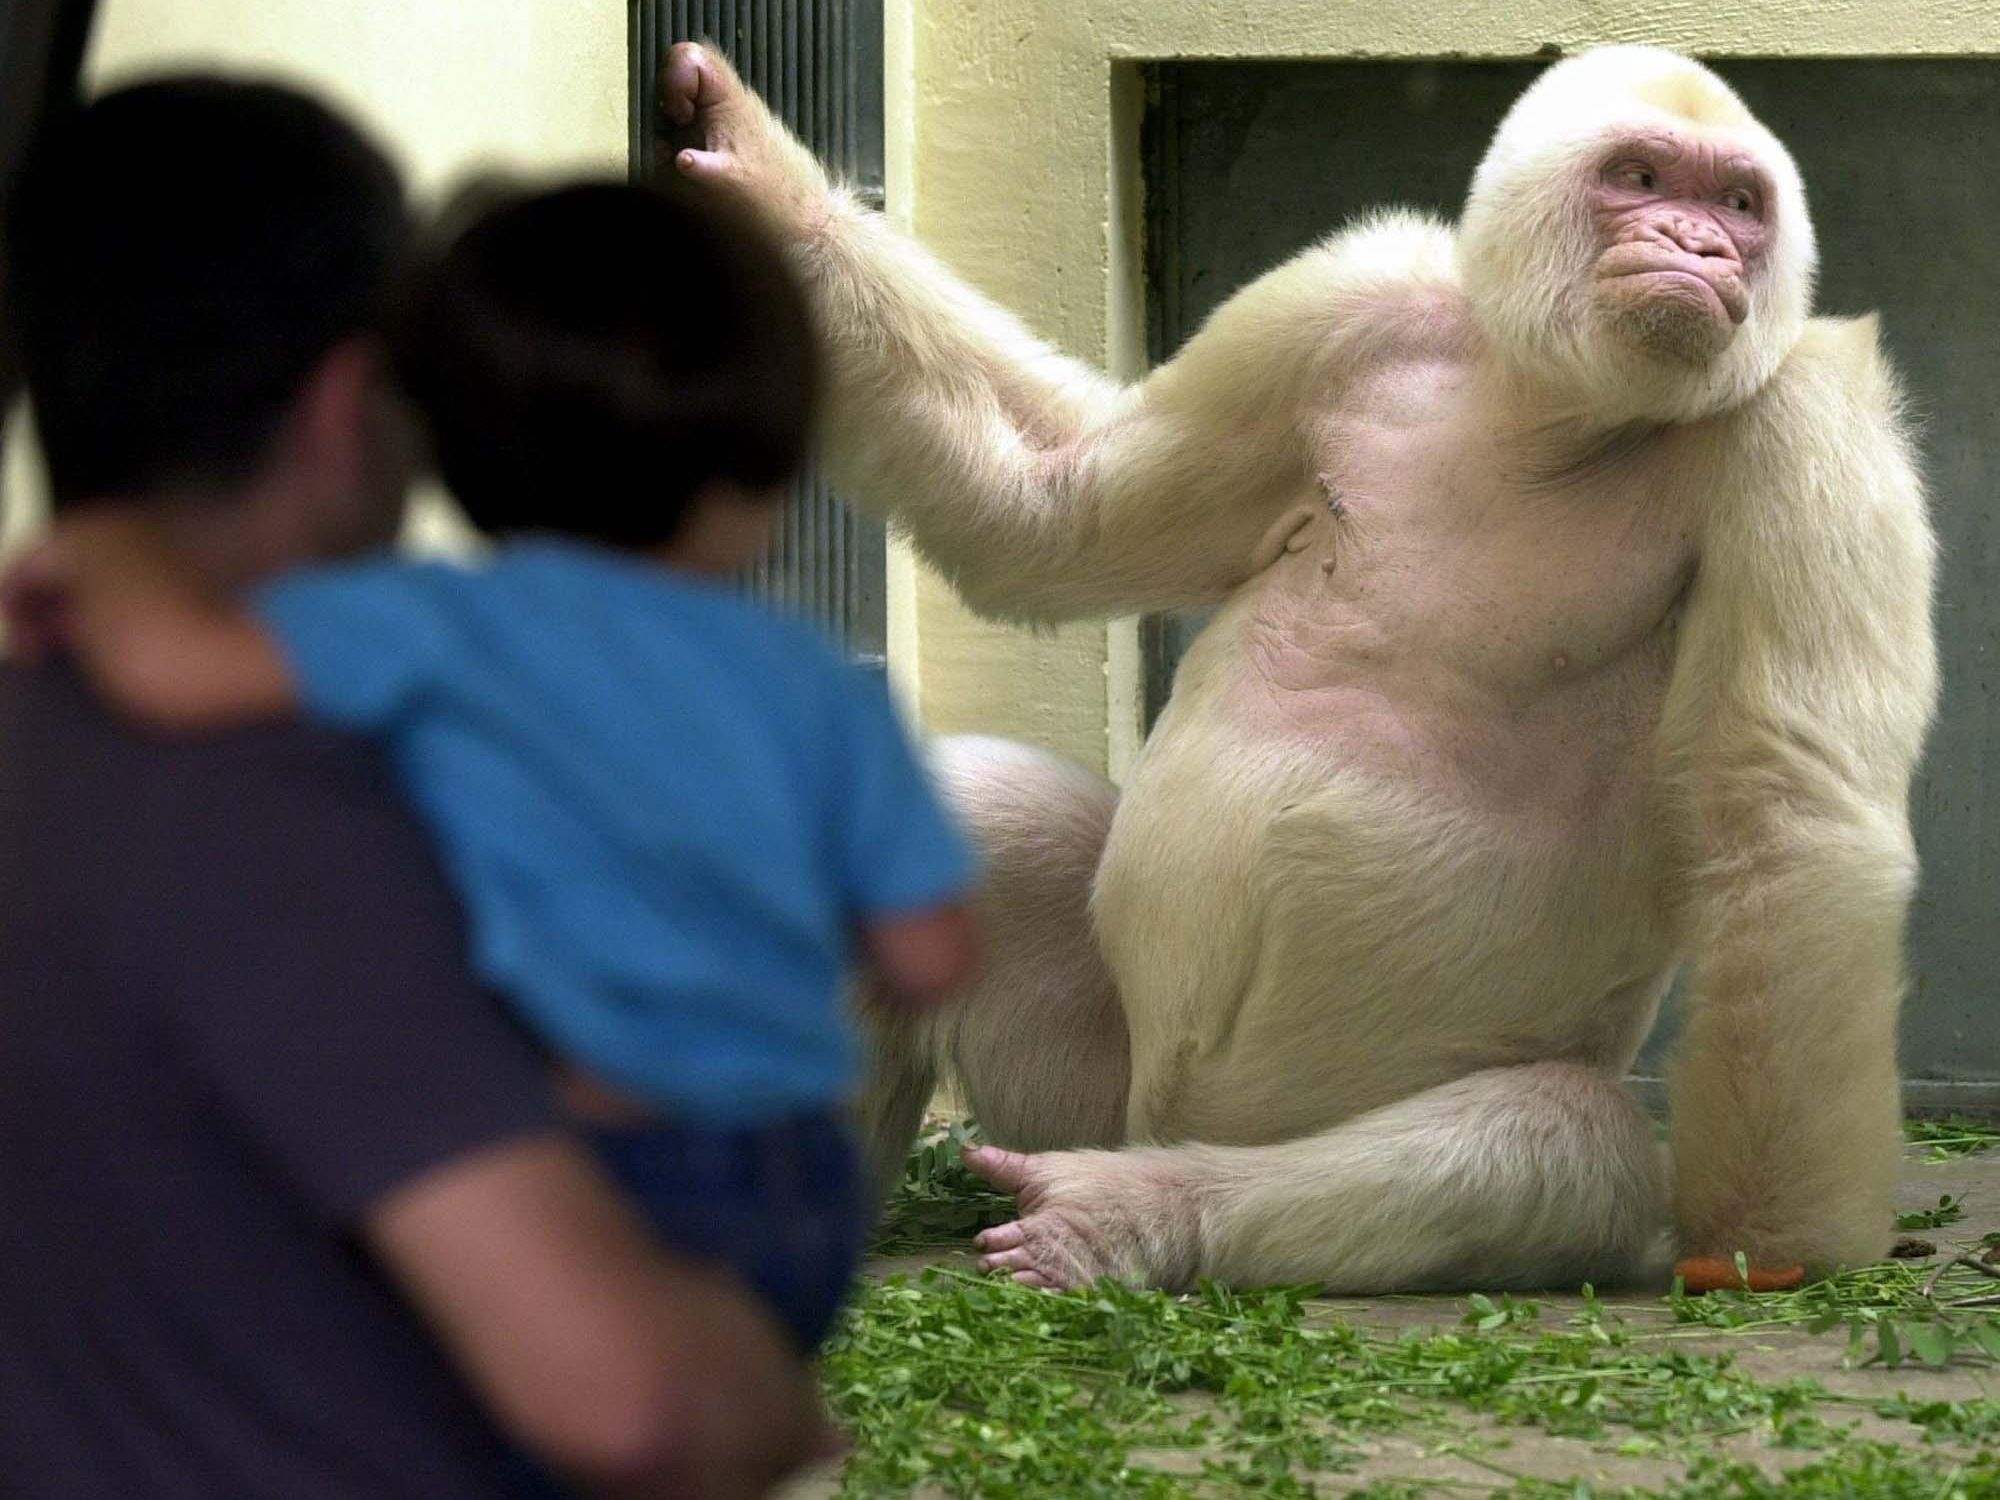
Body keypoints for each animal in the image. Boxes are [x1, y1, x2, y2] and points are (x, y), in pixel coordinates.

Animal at [664, 42, 1936, 1292]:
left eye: (1736, 204)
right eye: (1639, 178)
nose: (1698, 244)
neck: (1545, 412)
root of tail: (1156, 1125)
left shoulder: (1803, 423)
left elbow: (1783, 816)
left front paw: (1760, 1250)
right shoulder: (1335, 310)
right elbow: (1063, 497)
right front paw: (776, 194)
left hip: (1195, 1125)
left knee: (1559, 1146)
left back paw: (1143, 1214)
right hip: (1090, 1091)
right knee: (979, 817)